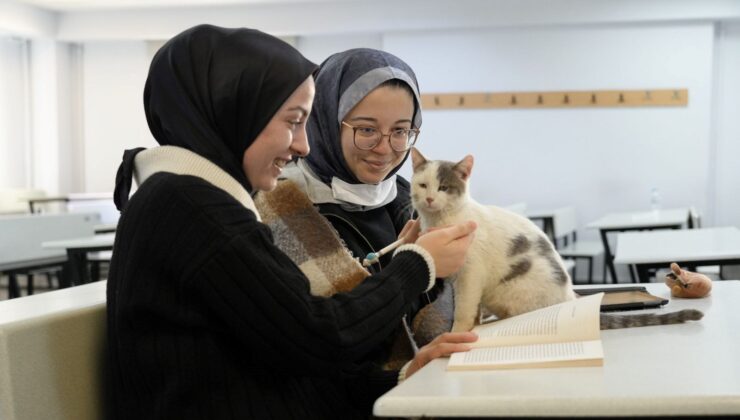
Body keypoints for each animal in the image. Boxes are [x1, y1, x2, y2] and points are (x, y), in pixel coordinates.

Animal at [408, 149, 704, 334]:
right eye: (422, 185)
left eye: (444, 187)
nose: (430, 198)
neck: (441, 221)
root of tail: (569, 299)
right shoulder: (458, 279)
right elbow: (472, 309)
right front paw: (474, 325)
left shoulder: (471, 276)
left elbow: (465, 309)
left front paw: (457, 333)